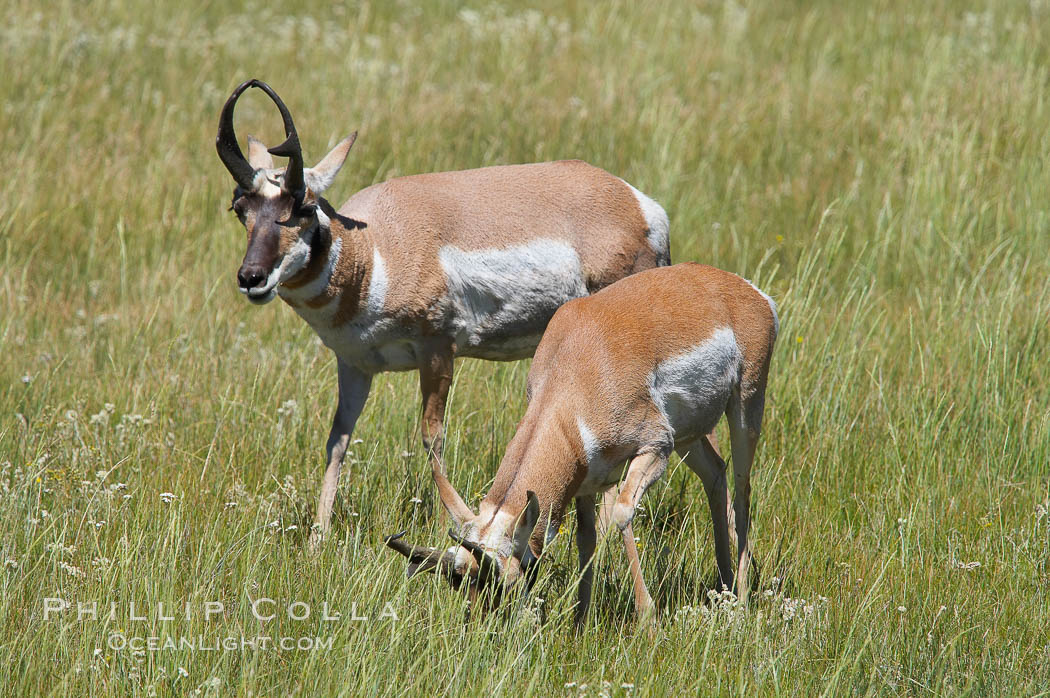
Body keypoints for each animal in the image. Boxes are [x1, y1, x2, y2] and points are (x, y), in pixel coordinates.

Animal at [216, 78, 667, 541]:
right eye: (240, 209)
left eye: (303, 207)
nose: (251, 277)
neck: (375, 248)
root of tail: (639, 204)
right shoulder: (355, 364)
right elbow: (338, 438)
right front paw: (318, 538)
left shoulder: (437, 349)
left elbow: (432, 438)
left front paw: (457, 520)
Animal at [386, 261, 781, 621]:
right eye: (460, 581)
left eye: (508, 580)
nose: (484, 630)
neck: (577, 365)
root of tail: (741, 288)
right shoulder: (587, 481)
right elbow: (586, 540)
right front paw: (580, 622)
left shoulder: (655, 448)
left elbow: (622, 513)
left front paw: (647, 617)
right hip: (690, 436)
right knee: (716, 473)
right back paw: (725, 590)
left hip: (744, 407)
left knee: (743, 489)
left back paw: (742, 602)